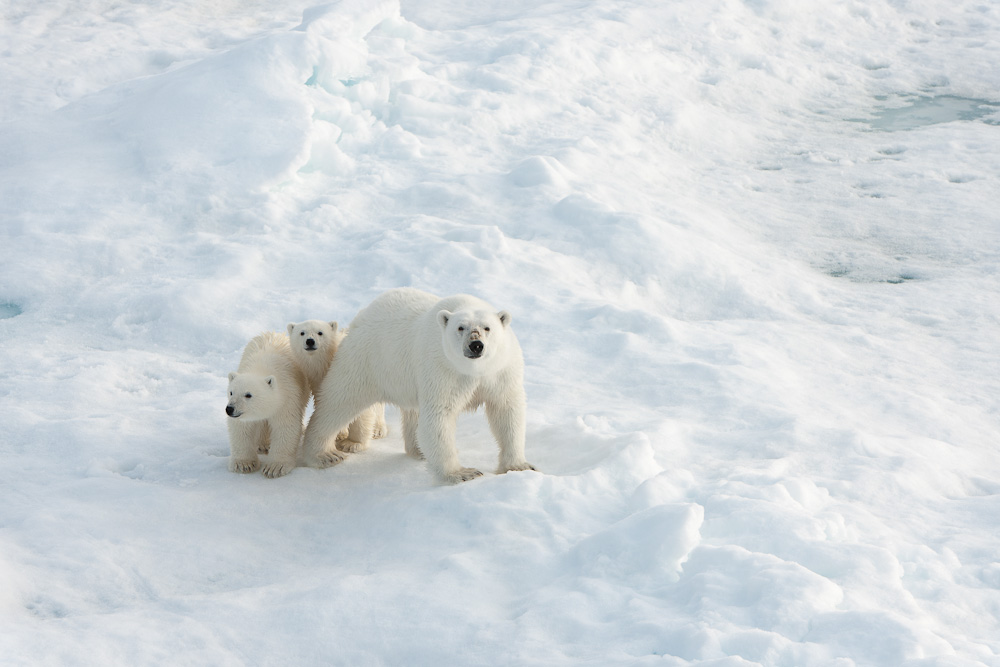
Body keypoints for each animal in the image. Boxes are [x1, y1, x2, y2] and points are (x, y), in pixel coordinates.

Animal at [227, 330, 308, 478]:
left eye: (248, 395)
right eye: (231, 392)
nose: (230, 409)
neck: (261, 368)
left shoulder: (287, 398)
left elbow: (286, 427)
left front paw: (274, 467)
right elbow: (241, 428)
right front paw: (244, 464)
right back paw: (263, 444)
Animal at [290, 320, 390, 448]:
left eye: (320, 332)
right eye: (302, 332)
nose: (310, 341)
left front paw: (353, 443)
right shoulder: (318, 381)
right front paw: (339, 435)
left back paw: (378, 430)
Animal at [302, 290, 536, 482]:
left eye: (487, 327)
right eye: (460, 327)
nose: (475, 345)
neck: (473, 370)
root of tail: (363, 313)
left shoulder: (501, 371)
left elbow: (506, 410)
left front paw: (520, 466)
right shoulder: (442, 369)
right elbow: (439, 416)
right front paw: (462, 473)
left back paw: (418, 450)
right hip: (367, 359)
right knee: (340, 400)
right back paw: (324, 454)